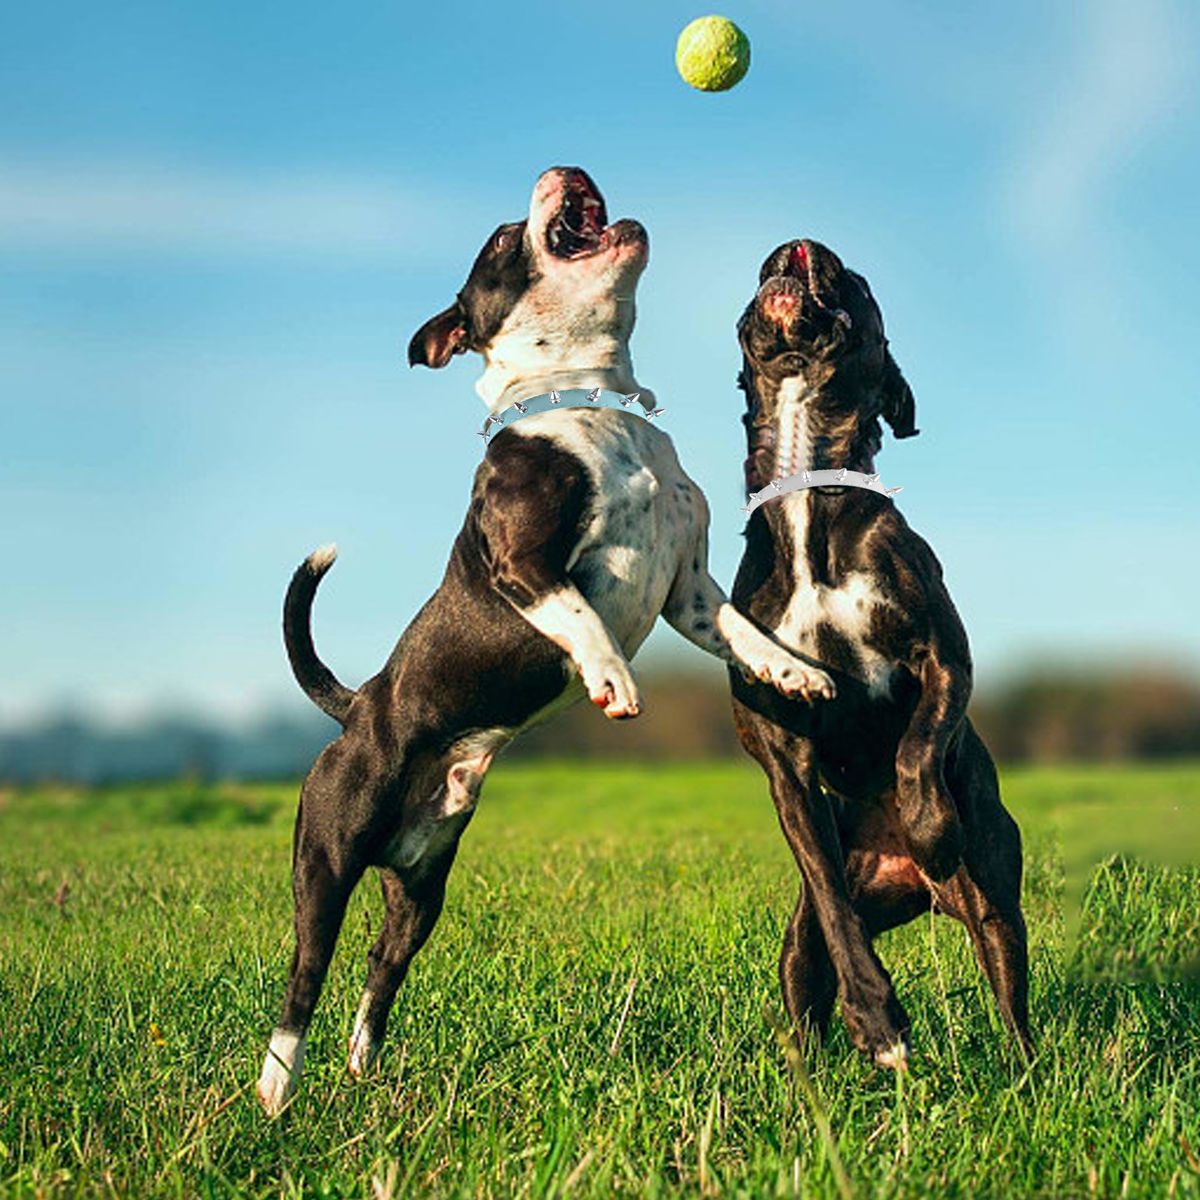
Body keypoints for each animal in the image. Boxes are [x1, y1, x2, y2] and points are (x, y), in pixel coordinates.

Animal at [256, 169, 835, 1115]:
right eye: (499, 241)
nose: (560, 171)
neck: (590, 401)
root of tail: (358, 710)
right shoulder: (522, 565)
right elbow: (580, 615)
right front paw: (612, 680)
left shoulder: (691, 592)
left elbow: (744, 633)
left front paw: (793, 670)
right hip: (327, 863)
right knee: (305, 975)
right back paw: (277, 1088)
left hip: (422, 885)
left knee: (380, 968)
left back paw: (364, 1066)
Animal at [729, 238, 1030, 1068]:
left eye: (858, 282)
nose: (799, 245)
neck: (808, 493)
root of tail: (913, 890)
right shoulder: (782, 755)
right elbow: (831, 899)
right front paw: (877, 1018)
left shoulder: (941, 658)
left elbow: (918, 745)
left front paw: (930, 825)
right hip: (799, 948)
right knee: (812, 978)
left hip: (995, 903)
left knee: (1013, 1000)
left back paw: (1030, 1072)